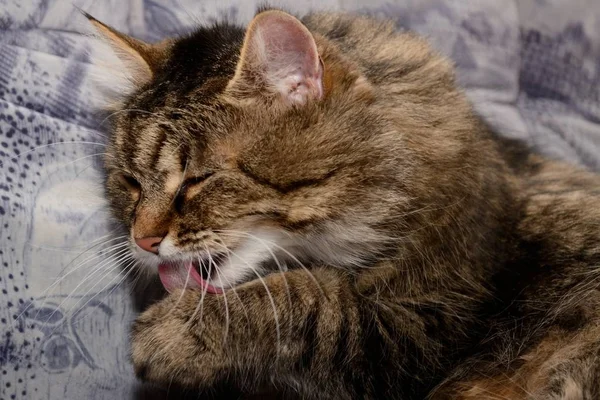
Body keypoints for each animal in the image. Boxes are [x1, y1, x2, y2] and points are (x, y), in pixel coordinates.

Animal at [86, 7, 600, 400]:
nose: (142, 240)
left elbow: (311, 300)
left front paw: (172, 333)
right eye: (131, 182)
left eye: (196, 181)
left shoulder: (428, 324)